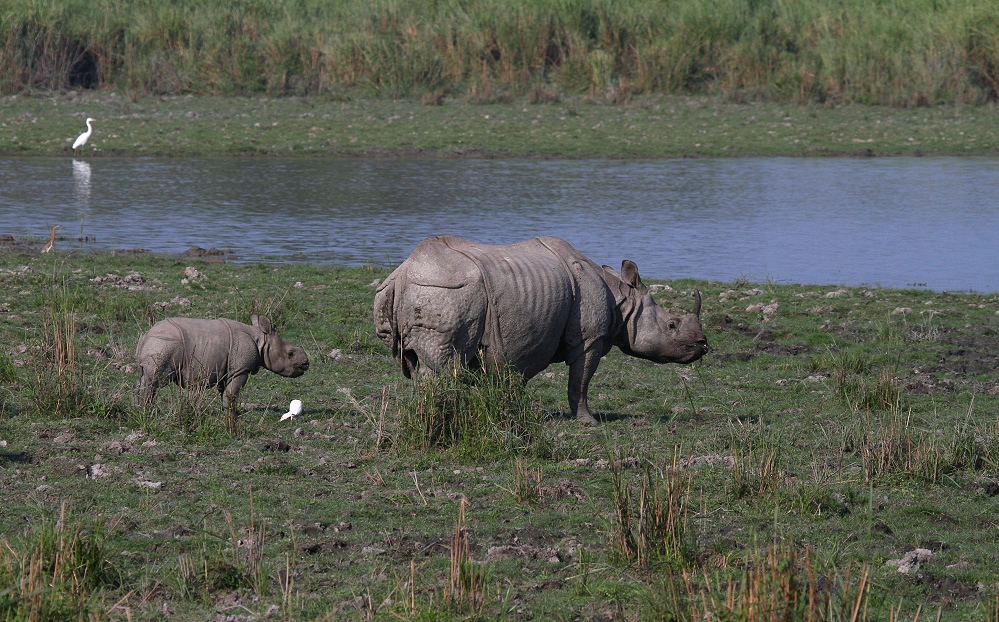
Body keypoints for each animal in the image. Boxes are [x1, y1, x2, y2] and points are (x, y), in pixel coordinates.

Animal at [135, 316, 308, 414]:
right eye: (291, 354)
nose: (306, 363)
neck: (261, 340)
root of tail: (146, 335)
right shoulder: (240, 369)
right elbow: (232, 393)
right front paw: (233, 414)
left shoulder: (226, 368)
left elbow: (224, 391)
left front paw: (225, 410)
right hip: (164, 344)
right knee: (154, 381)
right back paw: (147, 411)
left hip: (158, 344)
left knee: (144, 378)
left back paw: (141, 410)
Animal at [376, 236, 712, 426]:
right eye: (672, 325)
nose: (703, 344)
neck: (622, 298)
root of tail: (403, 273)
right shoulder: (590, 338)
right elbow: (580, 382)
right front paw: (588, 422)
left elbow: (511, 377)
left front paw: (508, 409)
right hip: (447, 290)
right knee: (443, 365)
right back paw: (442, 418)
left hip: (422, 290)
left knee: (419, 362)